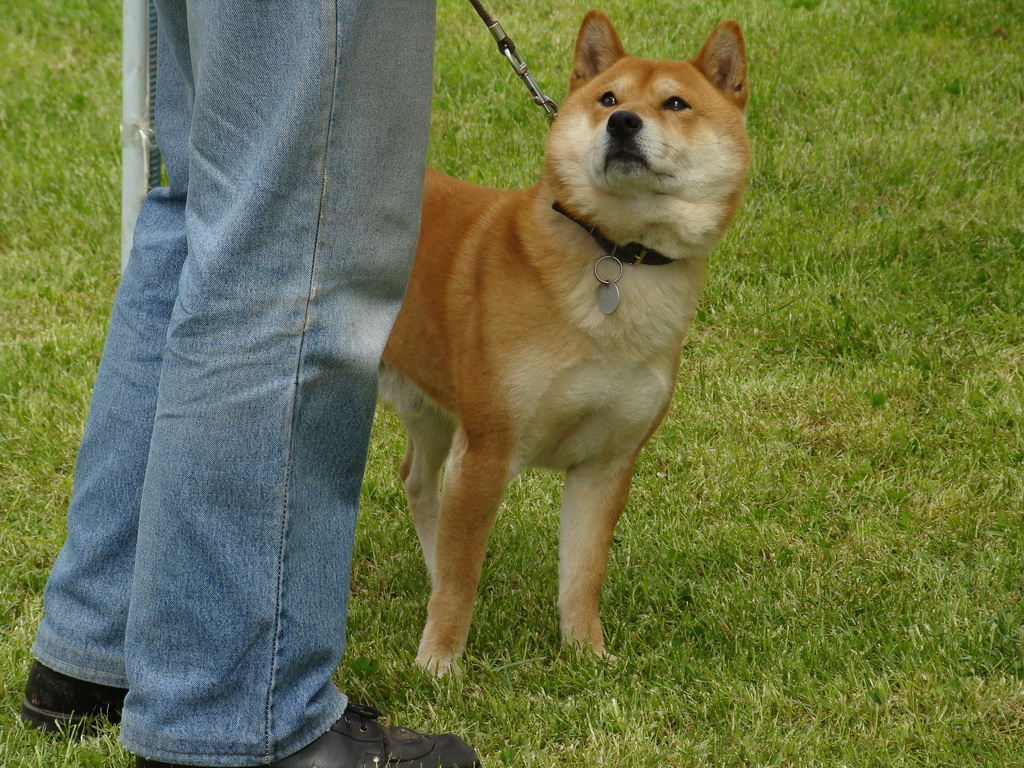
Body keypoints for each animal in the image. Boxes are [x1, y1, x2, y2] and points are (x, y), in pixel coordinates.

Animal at [380, 10, 749, 671]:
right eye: (608, 99)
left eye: (675, 104)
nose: (623, 123)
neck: (618, 253)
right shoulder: (488, 448)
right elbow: (463, 578)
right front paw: (439, 662)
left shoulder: (606, 463)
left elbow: (582, 573)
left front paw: (587, 655)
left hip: (430, 407)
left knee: (418, 483)